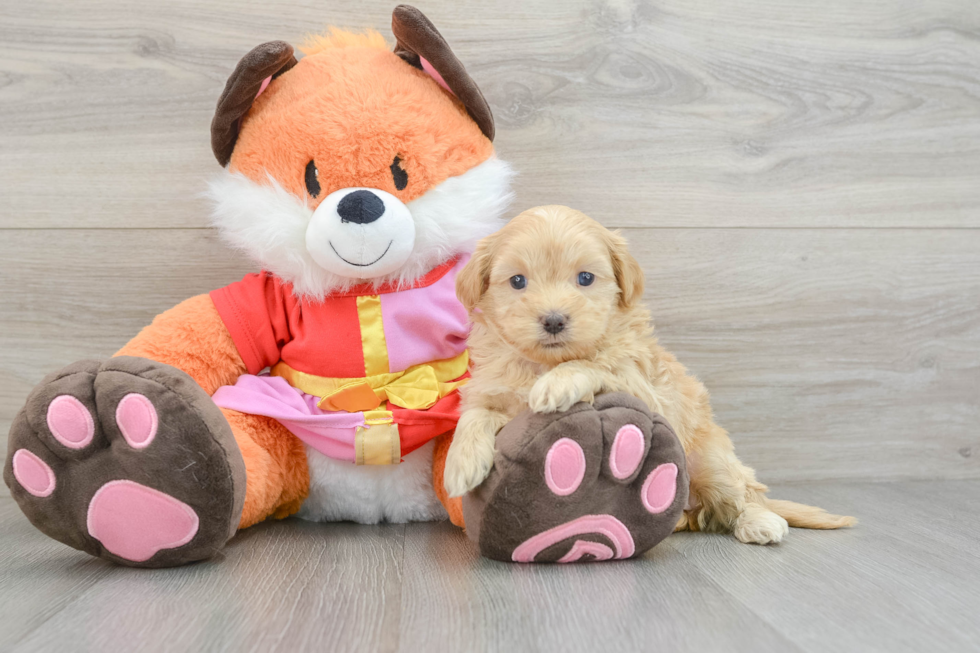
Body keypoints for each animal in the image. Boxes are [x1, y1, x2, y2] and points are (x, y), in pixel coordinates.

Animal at [440, 206, 852, 544]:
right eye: (518, 281)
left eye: (585, 278)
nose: (554, 320)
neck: (545, 362)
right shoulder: (492, 389)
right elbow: (474, 415)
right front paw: (460, 464)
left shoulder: (645, 388)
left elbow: (598, 364)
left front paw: (560, 382)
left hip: (711, 458)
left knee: (741, 493)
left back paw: (759, 521)